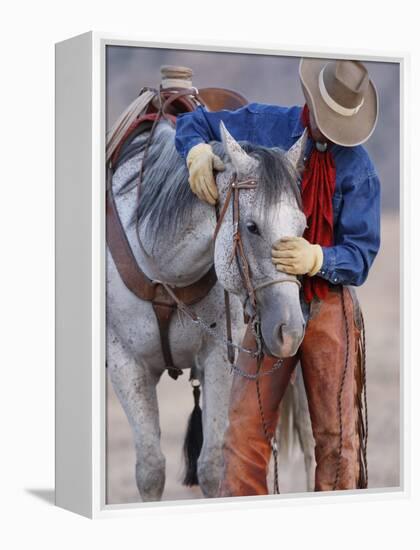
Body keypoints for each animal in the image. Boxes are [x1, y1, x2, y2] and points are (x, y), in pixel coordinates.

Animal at [107, 119, 312, 500]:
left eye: (303, 227)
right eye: (251, 227)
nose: (290, 331)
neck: (163, 269)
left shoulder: (219, 358)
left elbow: (212, 466)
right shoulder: (125, 364)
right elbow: (151, 469)